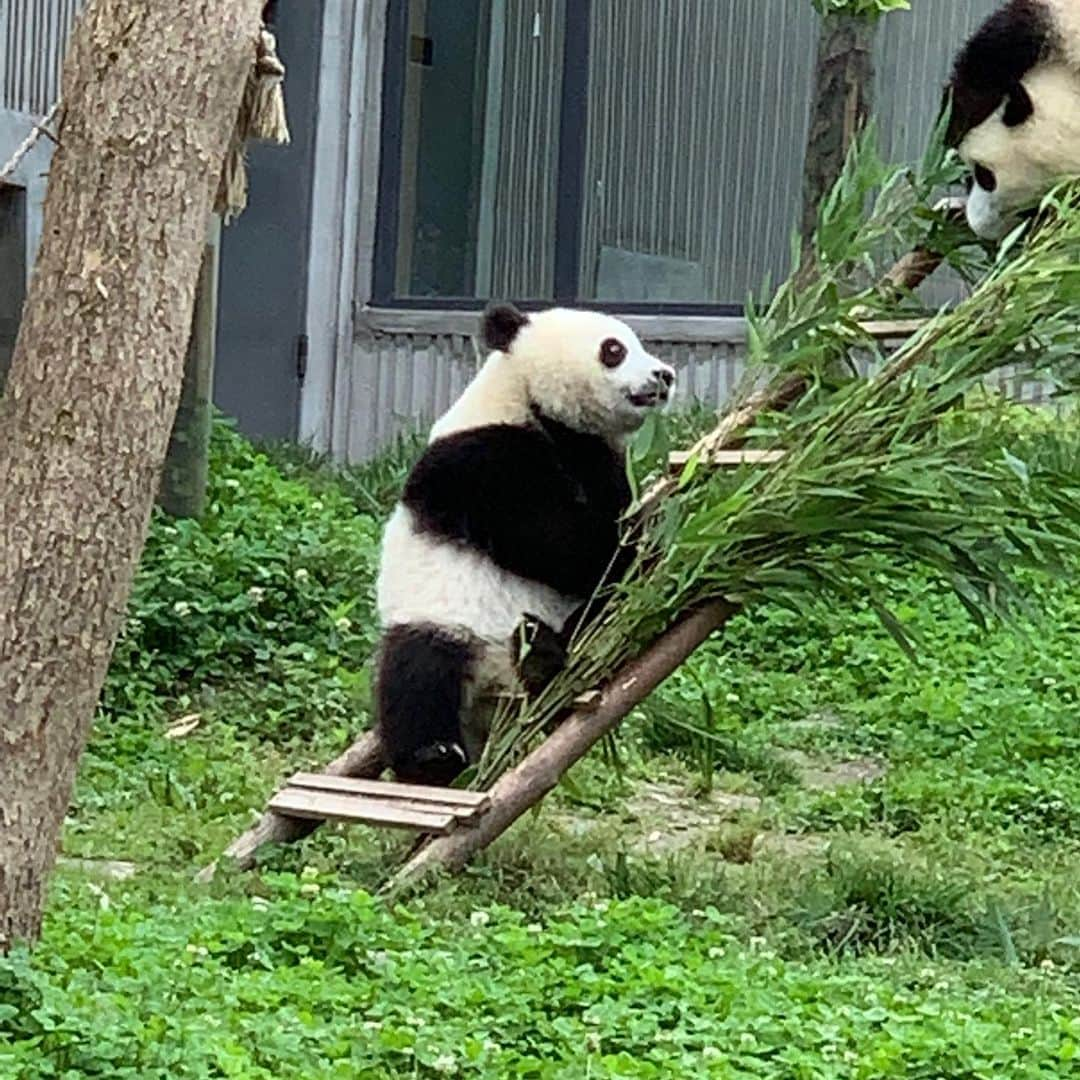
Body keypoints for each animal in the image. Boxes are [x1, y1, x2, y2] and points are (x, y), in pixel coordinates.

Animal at [371, 304, 673, 786]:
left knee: (595, 620)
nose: (664, 375)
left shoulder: (598, 462)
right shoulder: (481, 458)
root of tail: (497, 693)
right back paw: (432, 758)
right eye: (614, 349)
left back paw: (542, 653)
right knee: (417, 673)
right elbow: (560, 543)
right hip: (446, 625)